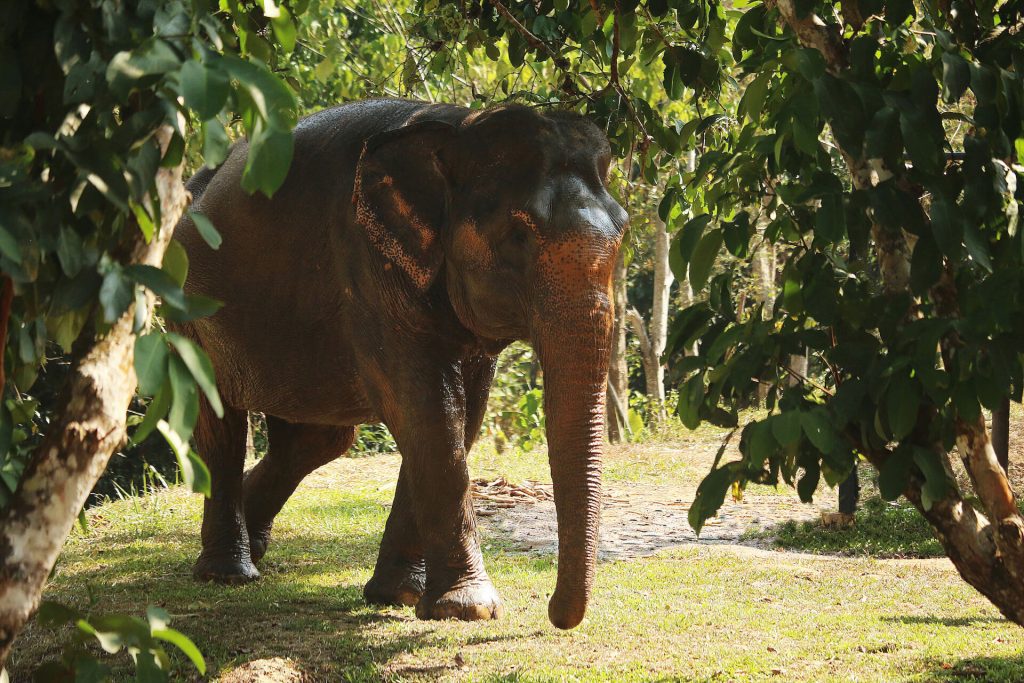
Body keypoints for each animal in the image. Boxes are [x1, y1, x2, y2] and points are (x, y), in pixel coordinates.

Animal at [174, 97, 622, 630]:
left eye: (623, 232)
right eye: (517, 235)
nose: (554, 613)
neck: (458, 127)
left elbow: (461, 415)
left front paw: (401, 596)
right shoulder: (365, 261)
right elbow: (426, 409)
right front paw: (469, 608)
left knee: (314, 439)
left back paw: (254, 542)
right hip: (186, 303)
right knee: (220, 424)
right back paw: (228, 573)